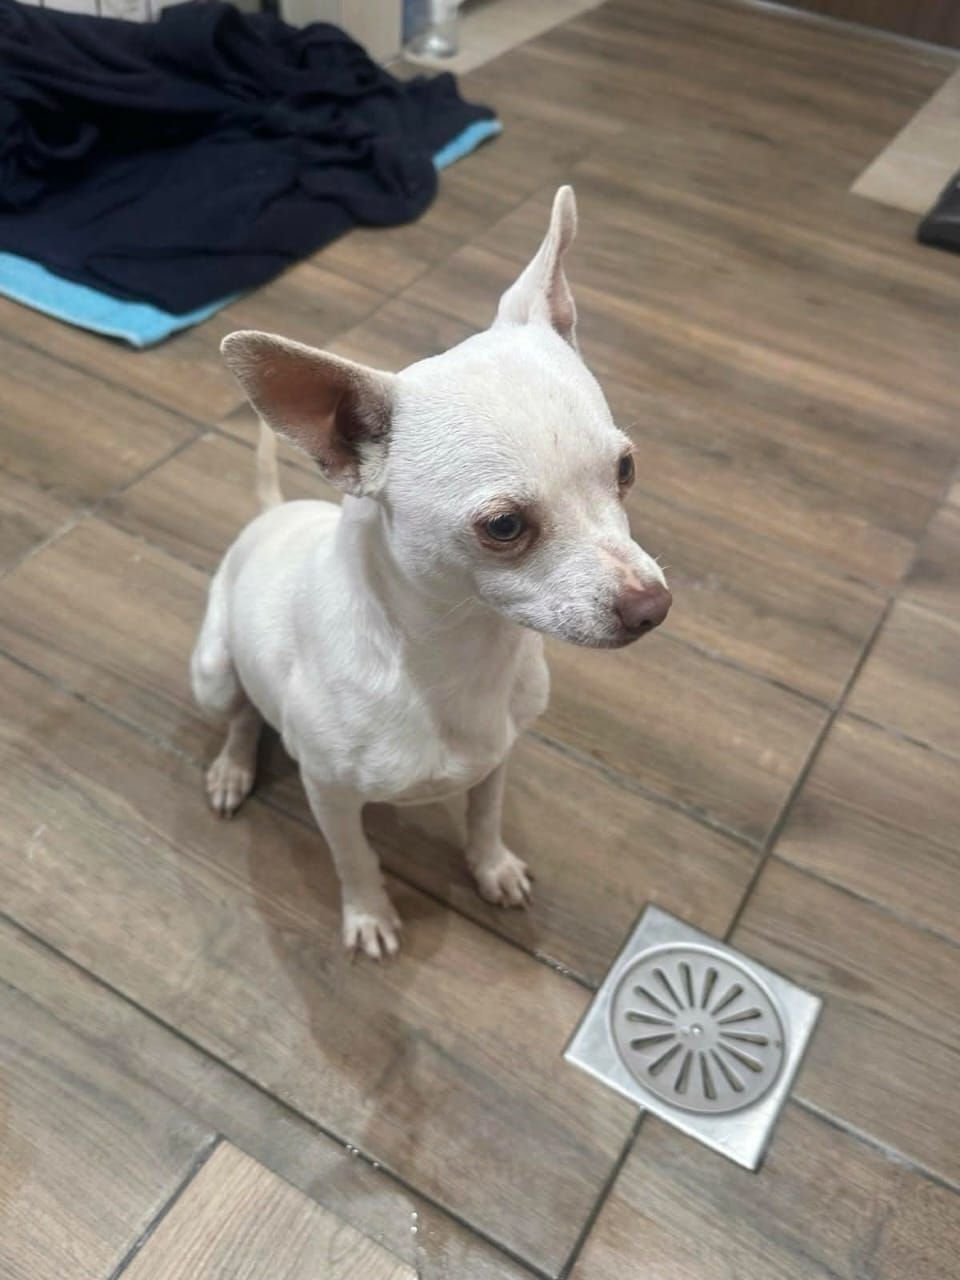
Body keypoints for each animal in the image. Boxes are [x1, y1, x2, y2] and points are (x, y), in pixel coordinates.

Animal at [191, 186, 671, 959]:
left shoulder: (498, 760)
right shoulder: (330, 795)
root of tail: (268, 516)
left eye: (625, 469)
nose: (652, 607)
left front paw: (492, 868)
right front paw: (368, 914)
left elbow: (484, 817)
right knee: (238, 714)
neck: (461, 648)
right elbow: (354, 856)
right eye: (503, 526)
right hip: (211, 670)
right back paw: (234, 766)